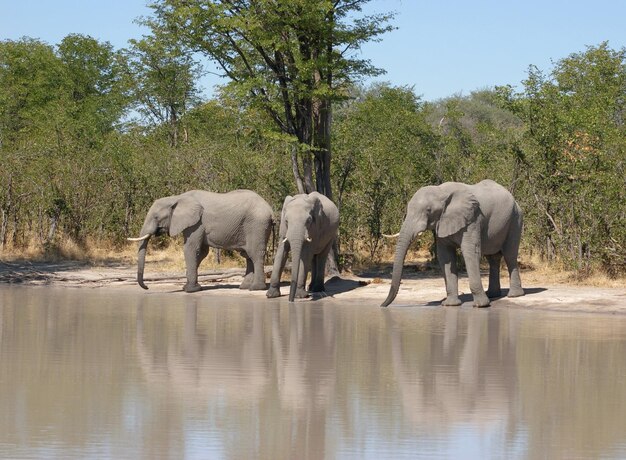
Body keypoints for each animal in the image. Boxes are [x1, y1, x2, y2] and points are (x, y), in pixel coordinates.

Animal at [128, 190, 272, 292]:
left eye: (156, 217)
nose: (146, 287)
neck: (177, 198)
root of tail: (270, 210)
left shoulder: (196, 223)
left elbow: (190, 249)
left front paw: (190, 290)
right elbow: (201, 252)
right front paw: (190, 287)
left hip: (257, 225)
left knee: (255, 254)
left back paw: (256, 288)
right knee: (247, 255)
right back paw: (244, 287)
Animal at [380, 181, 520, 308]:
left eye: (428, 210)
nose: (382, 305)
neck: (441, 191)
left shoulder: (472, 219)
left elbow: (470, 252)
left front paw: (481, 305)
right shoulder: (442, 223)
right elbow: (445, 256)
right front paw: (450, 304)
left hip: (515, 218)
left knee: (510, 255)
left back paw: (514, 295)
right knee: (493, 258)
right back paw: (492, 294)